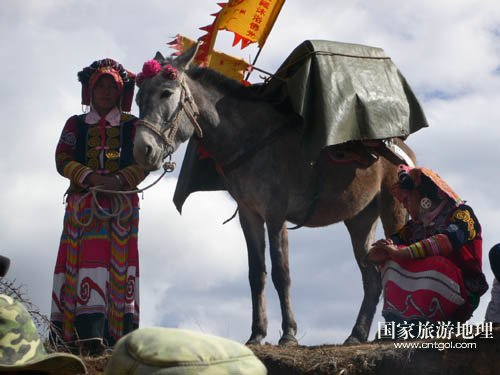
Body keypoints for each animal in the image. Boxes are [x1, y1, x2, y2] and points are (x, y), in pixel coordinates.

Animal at [132, 46, 414, 346]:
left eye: (166, 93)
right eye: (138, 97)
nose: (142, 149)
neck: (249, 138)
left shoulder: (276, 214)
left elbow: (281, 272)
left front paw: (288, 333)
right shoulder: (249, 214)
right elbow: (256, 273)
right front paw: (256, 333)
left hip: (392, 208)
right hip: (360, 219)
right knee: (371, 277)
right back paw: (357, 334)